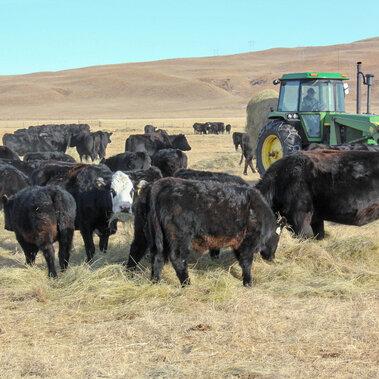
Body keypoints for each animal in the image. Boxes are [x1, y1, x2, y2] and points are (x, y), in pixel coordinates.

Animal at [127, 180, 282, 286]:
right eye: (277, 238)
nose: (271, 258)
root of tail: (158, 185)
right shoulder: (247, 242)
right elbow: (246, 262)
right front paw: (248, 282)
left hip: (142, 233)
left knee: (142, 252)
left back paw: (145, 278)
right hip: (180, 236)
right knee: (177, 258)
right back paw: (187, 284)